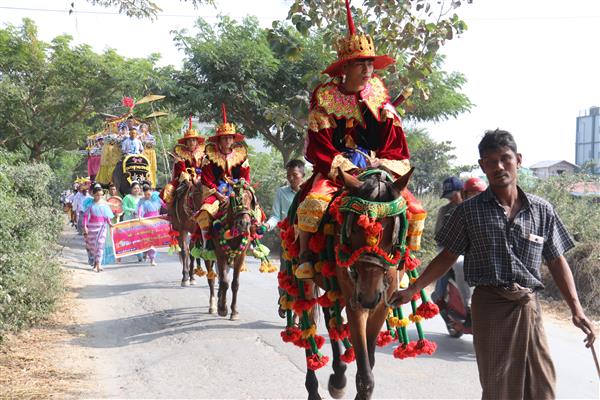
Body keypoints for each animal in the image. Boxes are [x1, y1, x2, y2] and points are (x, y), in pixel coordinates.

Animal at [278, 168, 438, 400]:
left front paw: (342, 378)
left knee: (331, 320)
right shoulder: (357, 303)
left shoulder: (381, 304)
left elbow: (369, 363)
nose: (368, 296)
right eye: (352, 230)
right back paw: (315, 386)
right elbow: (365, 375)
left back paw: (338, 375)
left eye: (394, 233)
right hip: (305, 279)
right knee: (309, 323)